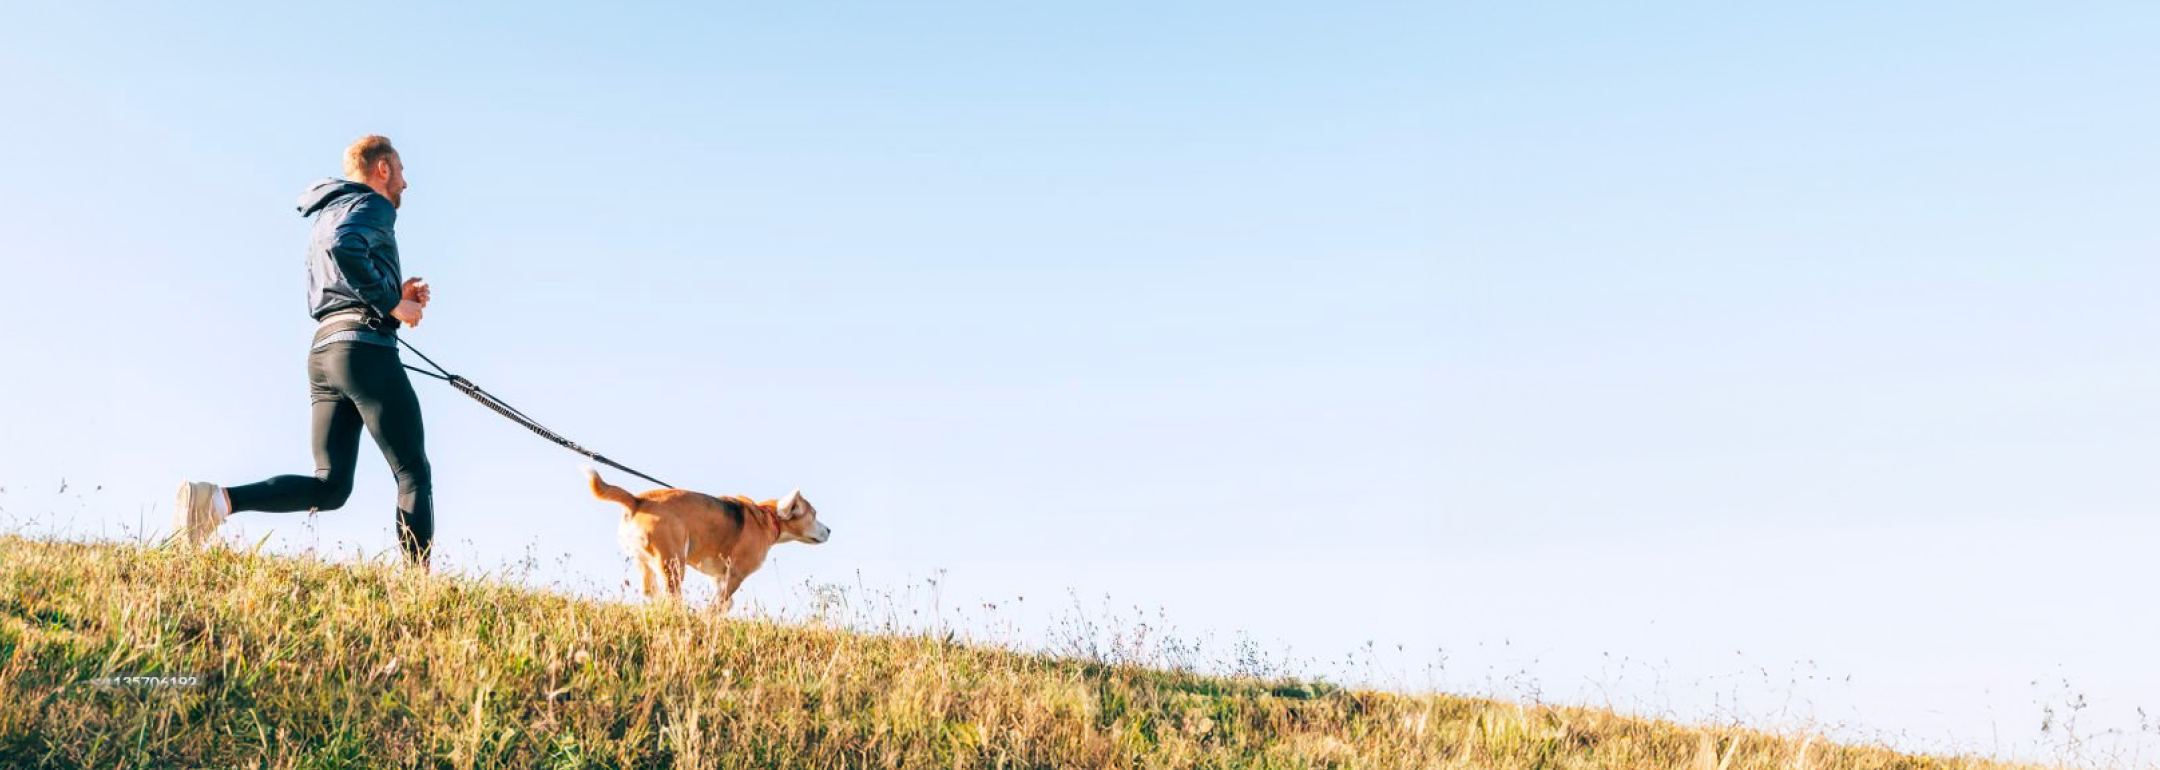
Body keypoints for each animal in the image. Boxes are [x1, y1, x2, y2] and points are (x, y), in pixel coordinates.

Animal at [587, 467, 829, 609]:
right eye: (814, 514)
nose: (830, 530)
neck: (768, 516)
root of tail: (637, 500)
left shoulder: (718, 576)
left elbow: (724, 602)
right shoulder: (735, 574)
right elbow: (719, 604)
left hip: (645, 561)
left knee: (649, 591)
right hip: (673, 563)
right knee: (671, 596)